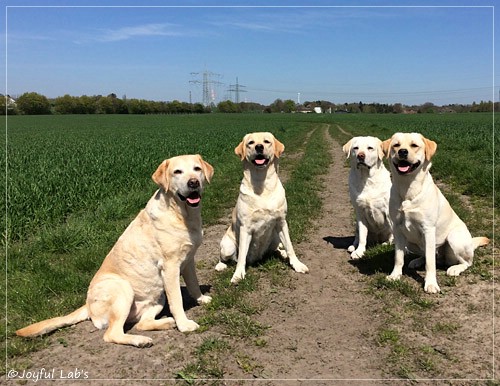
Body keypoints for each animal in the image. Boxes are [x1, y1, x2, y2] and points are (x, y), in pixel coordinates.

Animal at [16, 155, 213, 348]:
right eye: (177, 172)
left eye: (197, 169)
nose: (193, 183)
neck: (182, 214)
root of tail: (87, 305)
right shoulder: (170, 267)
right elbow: (177, 300)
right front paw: (184, 324)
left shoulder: (188, 260)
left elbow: (194, 284)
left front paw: (201, 299)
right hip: (123, 289)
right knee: (112, 334)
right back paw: (141, 340)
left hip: (156, 298)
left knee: (141, 324)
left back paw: (166, 323)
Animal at [215, 132, 308, 284]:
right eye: (250, 143)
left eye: (266, 141)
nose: (259, 147)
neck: (261, 184)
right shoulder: (245, 228)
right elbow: (241, 257)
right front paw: (238, 275)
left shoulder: (281, 223)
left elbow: (290, 246)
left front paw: (297, 264)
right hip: (227, 246)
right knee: (226, 257)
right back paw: (220, 265)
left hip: (275, 237)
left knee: (277, 248)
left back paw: (282, 253)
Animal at [382, 133, 488, 292]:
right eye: (396, 145)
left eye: (414, 145)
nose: (402, 152)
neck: (408, 189)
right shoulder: (398, 229)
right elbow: (399, 257)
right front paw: (395, 275)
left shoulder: (428, 229)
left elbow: (430, 263)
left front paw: (431, 283)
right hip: (411, 243)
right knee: (428, 255)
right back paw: (417, 261)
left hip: (454, 238)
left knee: (466, 262)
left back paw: (455, 268)